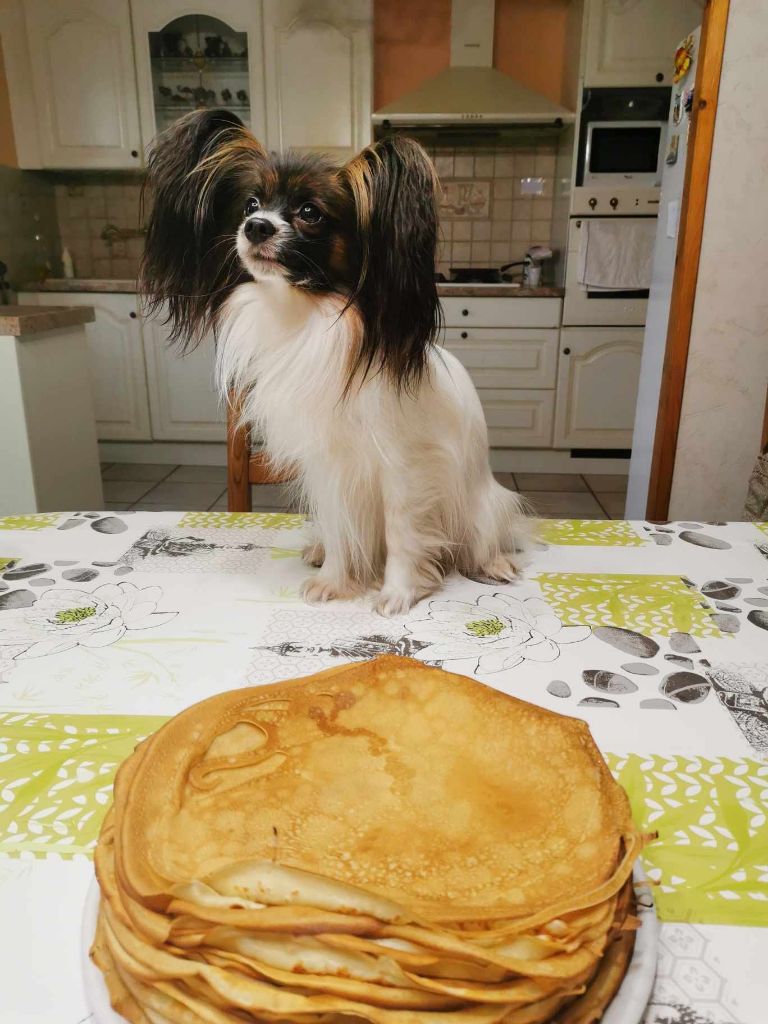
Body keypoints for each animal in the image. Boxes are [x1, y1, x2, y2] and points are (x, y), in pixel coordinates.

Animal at [140, 108, 528, 610]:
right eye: (249, 205)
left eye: (310, 213)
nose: (256, 227)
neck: (305, 314)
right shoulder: (329, 466)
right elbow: (342, 528)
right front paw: (336, 580)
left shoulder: (403, 466)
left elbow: (403, 532)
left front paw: (398, 592)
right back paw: (319, 549)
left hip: (482, 507)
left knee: (484, 537)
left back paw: (494, 562)